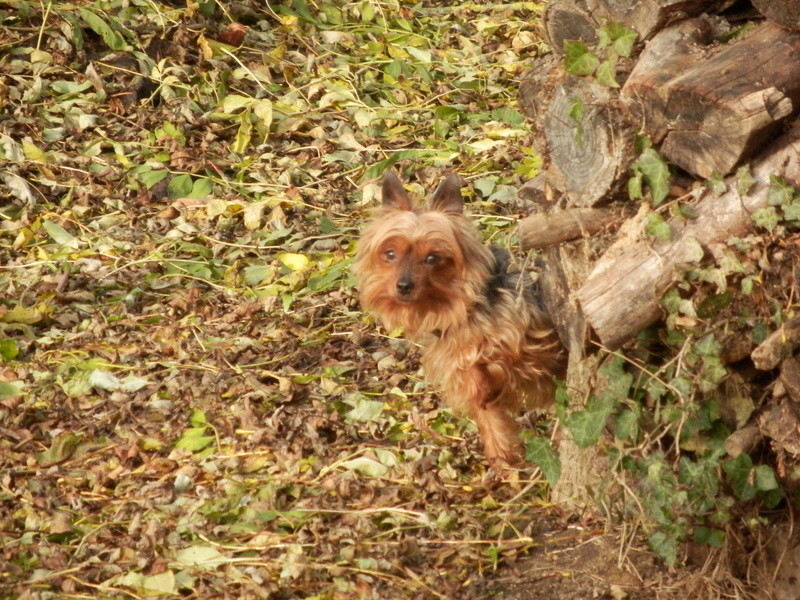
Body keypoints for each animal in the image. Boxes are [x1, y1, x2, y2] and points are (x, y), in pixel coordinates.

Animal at [354, 171, 564, 466]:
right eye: (390, 254)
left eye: (432, 258)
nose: (403, 286)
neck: (461, 311)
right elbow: (489, 418)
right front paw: (503, 461)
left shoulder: (529, 343)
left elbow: (492, 357)